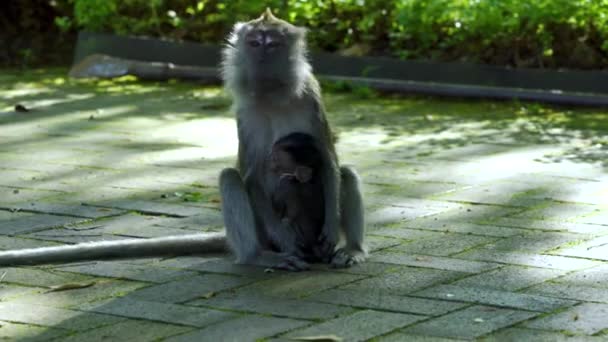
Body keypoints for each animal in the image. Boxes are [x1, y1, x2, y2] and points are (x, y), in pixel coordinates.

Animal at [0, 10, 366, 270]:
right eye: (254, 43)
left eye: (273, 43)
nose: (262, 56)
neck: (272, 97)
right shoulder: (244, 113)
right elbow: (250, 176)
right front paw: (287, 243)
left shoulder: (311, 99)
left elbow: (329, 161)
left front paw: (332, 229)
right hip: (262, 232)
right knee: (230, 179)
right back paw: (257, 256)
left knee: (348, 173)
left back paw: (352, 250)